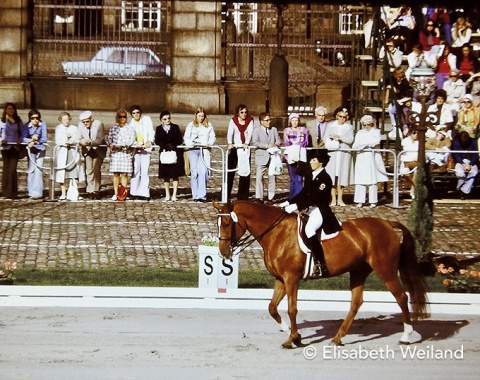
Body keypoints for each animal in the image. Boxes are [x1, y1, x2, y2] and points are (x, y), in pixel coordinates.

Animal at [214, 200, 428, 348]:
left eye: (227, 223)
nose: (223, 252)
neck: (277, 233)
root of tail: (387, 224)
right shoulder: (280, 279)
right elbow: (272, 307)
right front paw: (291, 333)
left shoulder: (291, 278)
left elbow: (292, 309)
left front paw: (292, 339)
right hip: (358, 271)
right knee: (356, 303)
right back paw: (338, 338)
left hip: (386, 270)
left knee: (401, 297)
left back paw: (406, 336)